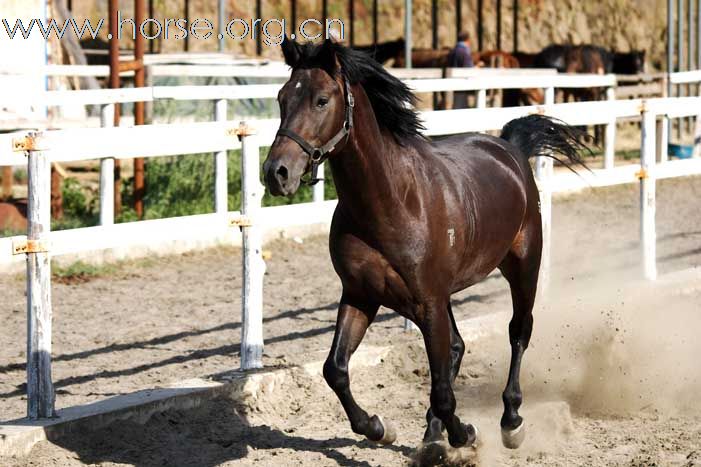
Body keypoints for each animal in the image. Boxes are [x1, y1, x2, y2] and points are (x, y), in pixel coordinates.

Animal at [262, 39, 584, 450]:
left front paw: (464, 435)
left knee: (518, 331)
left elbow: (444, 392)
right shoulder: (361, 294)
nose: (276, 173)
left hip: (523, 265)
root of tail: (509, 149)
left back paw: (510, 421)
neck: (391, 203)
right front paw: (379, 427)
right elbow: (336, 369)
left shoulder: (428, 300)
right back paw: (432, 436)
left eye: (321, 100)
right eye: (282, 98)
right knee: (457, 348)